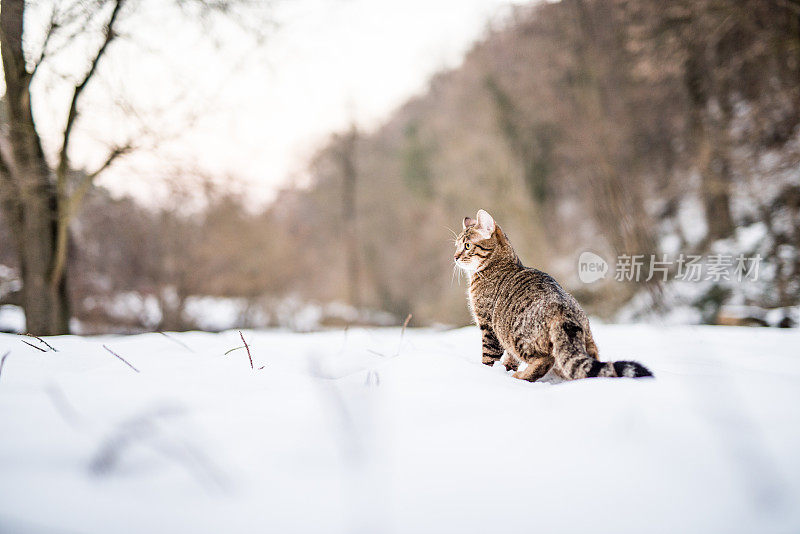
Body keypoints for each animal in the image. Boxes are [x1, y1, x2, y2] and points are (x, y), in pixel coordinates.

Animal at [456, 209, 648, 382]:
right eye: (457, 246)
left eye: (467, 246)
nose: (455, 256)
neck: (498, 263)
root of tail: (564, 311)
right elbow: (510, 359)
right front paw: (506, 369)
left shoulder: (488, 326)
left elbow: (489, 357)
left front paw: (487, 372)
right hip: (587, 342)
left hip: (518, 337)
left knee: (545, 360)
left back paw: (521, 376)